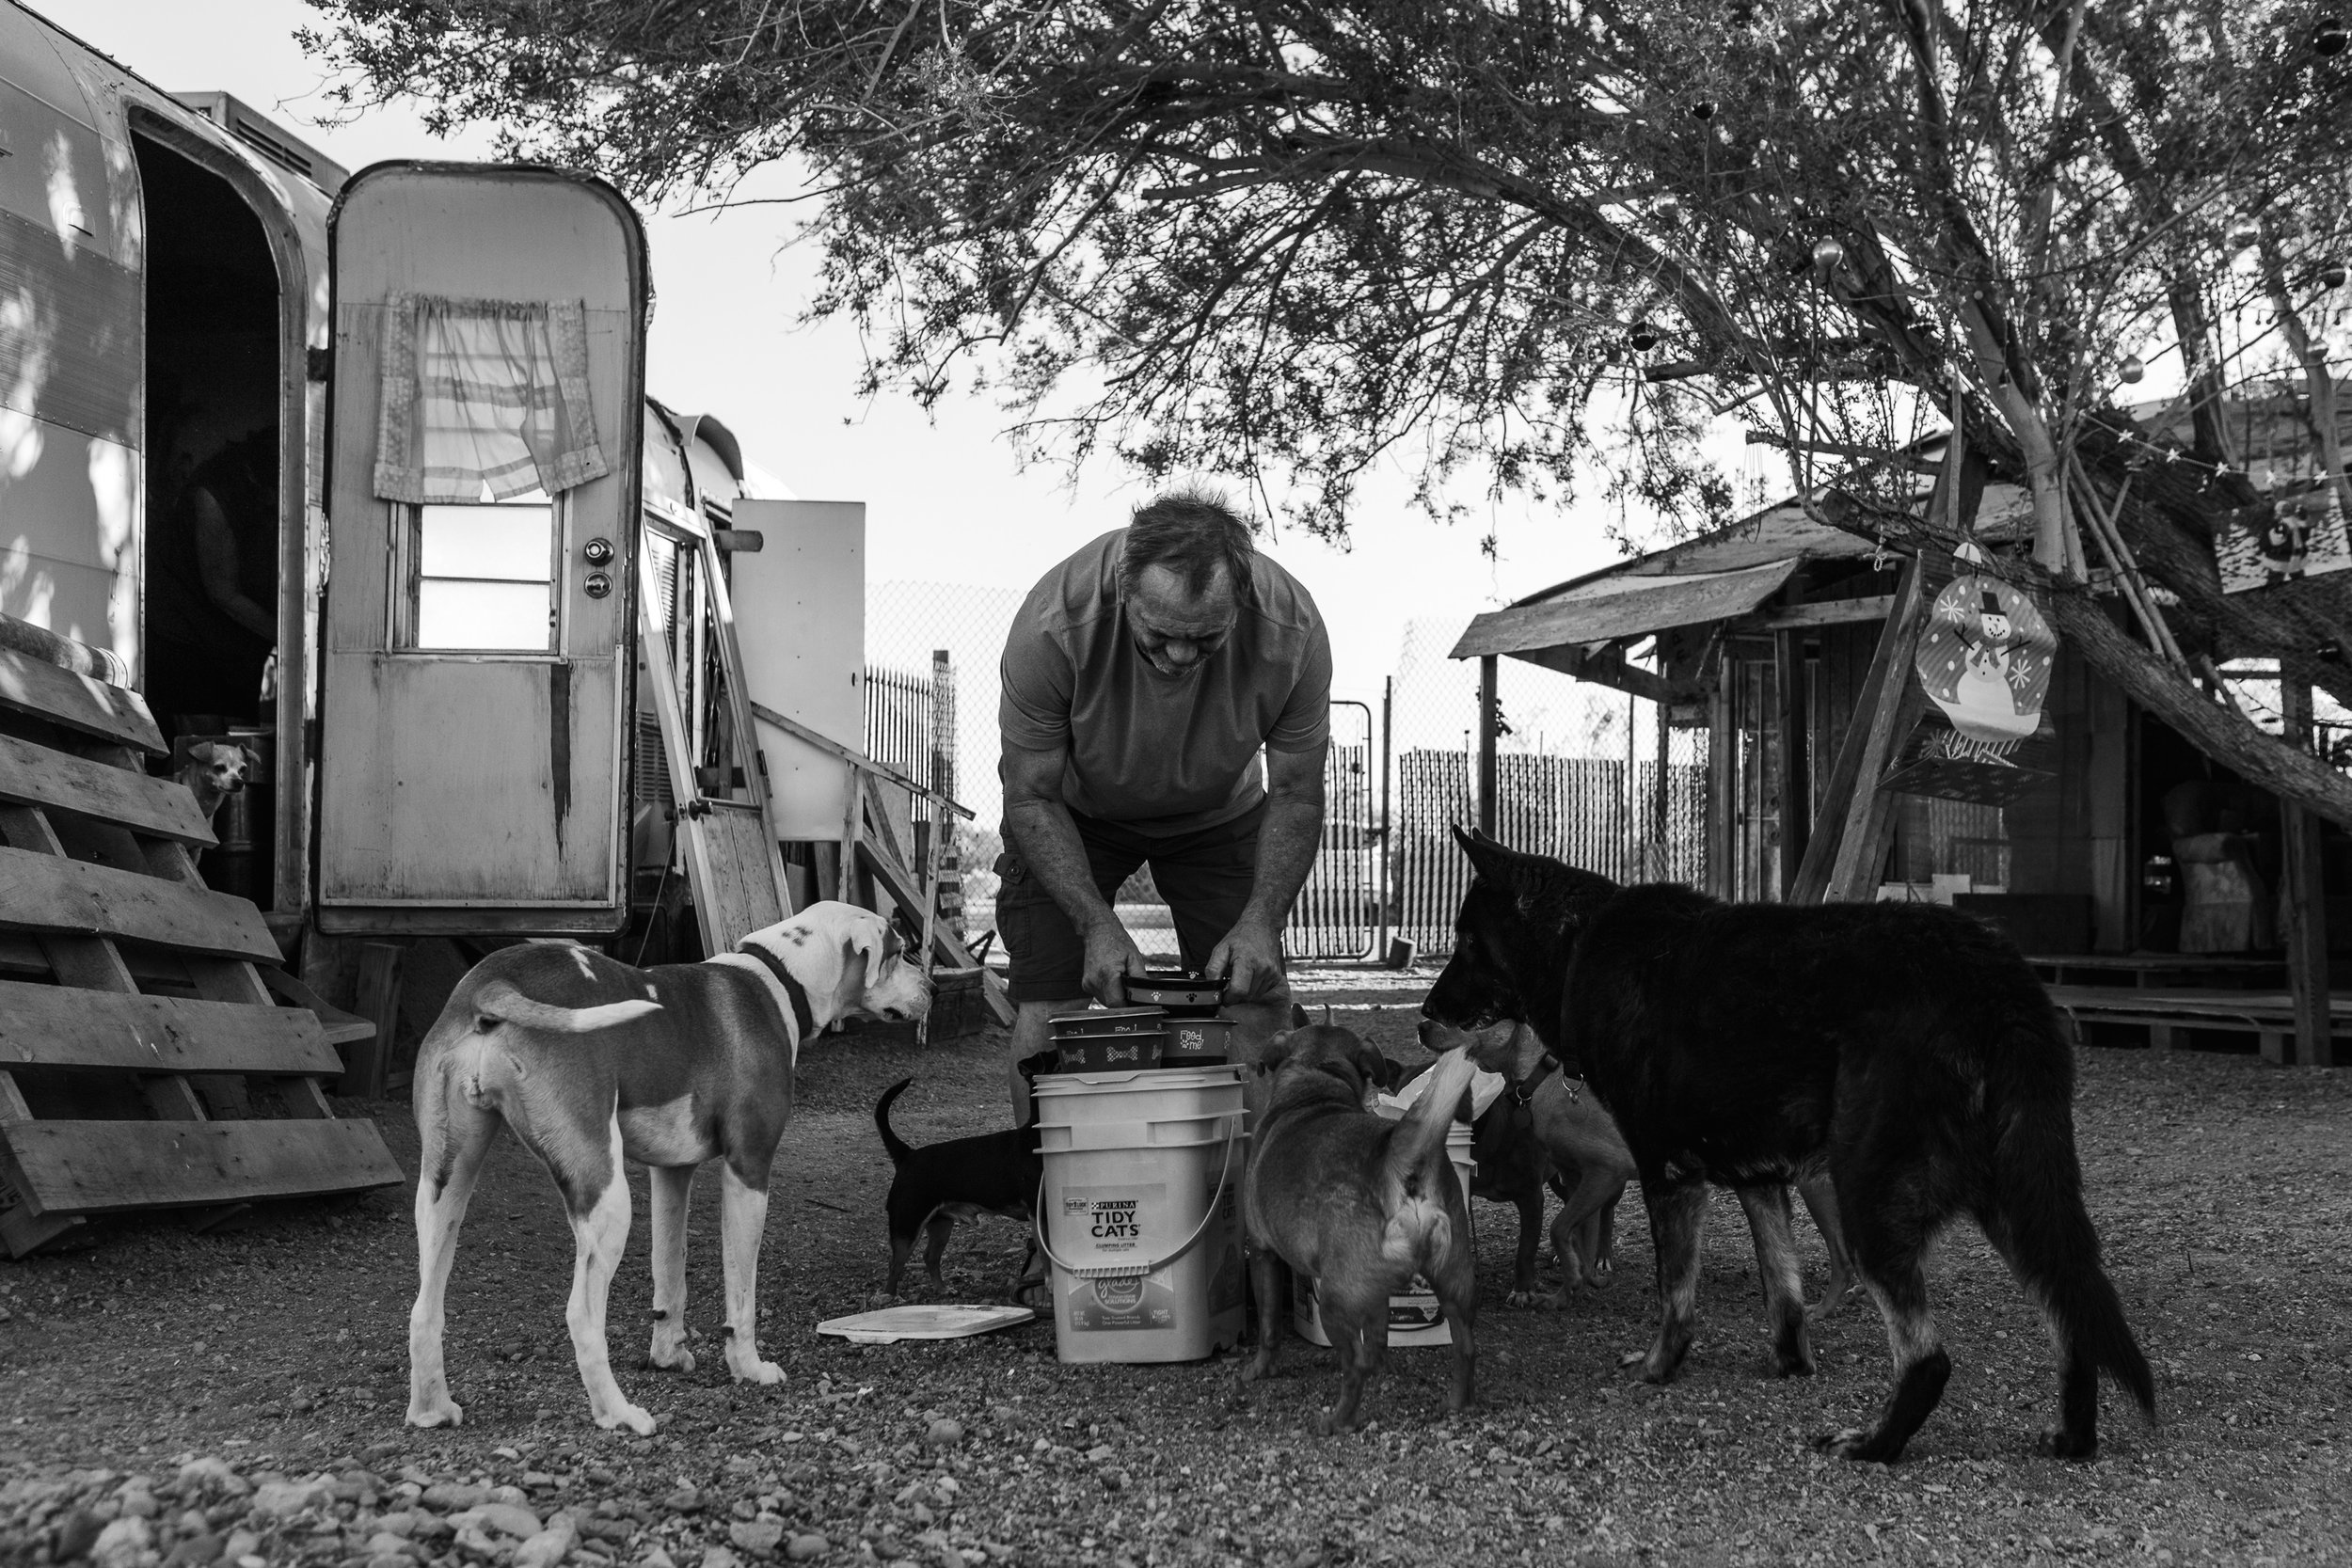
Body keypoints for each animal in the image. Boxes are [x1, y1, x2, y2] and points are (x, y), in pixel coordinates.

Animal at [405, 907, 927, 1438]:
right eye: (899, 950)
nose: (932, 988)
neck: (781, 977)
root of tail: (493, 982)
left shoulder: (671, 1174)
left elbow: (670, 1274)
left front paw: (668, 1356)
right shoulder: (749, 1170)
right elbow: (742, 1294)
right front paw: (749, 1367)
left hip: (445, 1189)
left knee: (424, 1308)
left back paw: (431, 1410)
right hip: (607, 1197)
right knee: (582, 1316)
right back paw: (618, 1413)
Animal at [875, 1048, 1058, 1297]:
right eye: (1058, 1063)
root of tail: (907, 1155)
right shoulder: (1038, 1213)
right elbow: (1047, 1255)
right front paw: (1051, 1285)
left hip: (941, 1224)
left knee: (929, 1256)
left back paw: (942, 1289)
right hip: (907, 1224)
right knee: (895, 1263)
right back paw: (890, 1297)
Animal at [1242, 1024, 1477, 1438]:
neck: (1316, 1080)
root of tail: (1398, 1161)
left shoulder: (1263, 1254)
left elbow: (1269, 1328)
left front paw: (1260, 1369)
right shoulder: (1377, 1296)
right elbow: (1379, 1335)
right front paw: (1382, 1366)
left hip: (1335, 1302)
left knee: (1352, 1368)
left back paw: (1339, 1421)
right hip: (1454, 1285)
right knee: (1464, 1348)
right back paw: (1456, 1404)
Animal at [1411, 827, 2154, 1466]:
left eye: (1467, 941)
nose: (1423, 1016)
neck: (1579, 948)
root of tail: (1998, 982)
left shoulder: (1667, 1175)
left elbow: (1675, 1295)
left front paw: (1658, 1368)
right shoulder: (1759, 1180)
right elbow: (1784, 1289)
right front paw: (1791, 1365)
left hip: (1871, 1200)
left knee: (1928, 1356)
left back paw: (1876, 1444)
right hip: (2013, 1200)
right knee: (2071, 1313)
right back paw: (2072, 1438)